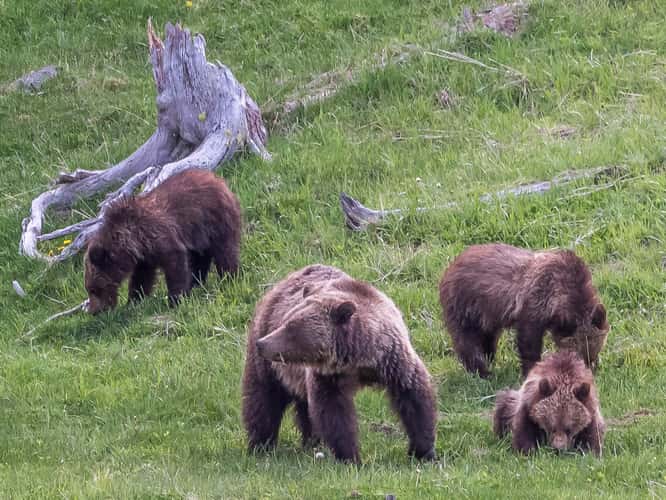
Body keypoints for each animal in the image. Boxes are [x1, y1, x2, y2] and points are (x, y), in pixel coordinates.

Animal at [84, 169, 241, 313]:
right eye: (89, 289)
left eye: (94, 289)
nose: (94, 312)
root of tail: (220, 180)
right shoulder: (145, 257)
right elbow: (141, 278)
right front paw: (133, 301)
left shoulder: (160, 237)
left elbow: (175, 263)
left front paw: (175, 299)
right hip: (199, 234)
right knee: (200, 259)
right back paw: (196, 283)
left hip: (215, 220)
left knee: (225, 251)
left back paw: (228, 277)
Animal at [241, 264, 437, 464]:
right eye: (285, 320)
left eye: (291, 328)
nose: (262, 344)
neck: (358, 360)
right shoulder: (328, 376)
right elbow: (333, 411)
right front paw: (350, 457)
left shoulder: (393, 361)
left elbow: (414, 397)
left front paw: (423, 451)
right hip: (268, 363)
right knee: (263, 399)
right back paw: (261, 445)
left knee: (301, 406)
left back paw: (311, 442)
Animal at [438, 243, 609, 378]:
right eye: (578, 355)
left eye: (592, 355)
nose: (589, 368)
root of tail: (449, 267)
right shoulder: (533, 306)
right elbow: (528, 342)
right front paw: (531, 369)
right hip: (464, 306)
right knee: (466, 341)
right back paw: (482, 371)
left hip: (487, 315)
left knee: (488, 337)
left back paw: (489, 357)